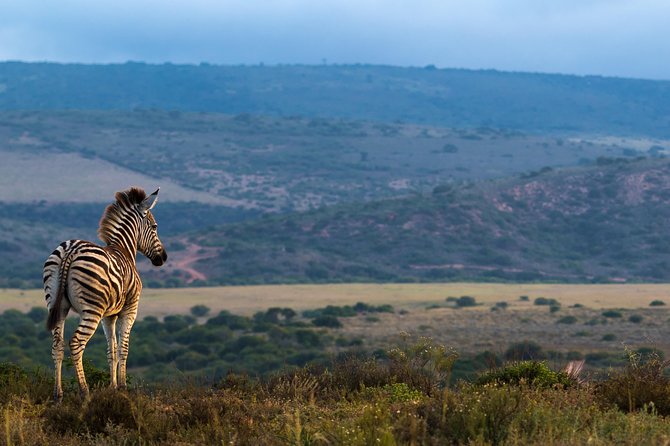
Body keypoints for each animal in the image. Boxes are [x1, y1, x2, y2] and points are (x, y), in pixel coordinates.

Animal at [43, 186, 168, 400]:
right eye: (154, 227)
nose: (163, 258)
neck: (124, 249)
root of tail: (70, 250)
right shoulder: (130, 309)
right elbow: (123, 348)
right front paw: (123, 387)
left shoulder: (108, 316)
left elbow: (112, 350)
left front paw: (112, 387)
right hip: (92, 309)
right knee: (76, 343)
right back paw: (85, 392)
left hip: (57, 304)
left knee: (57, 345)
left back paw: (58, 395)